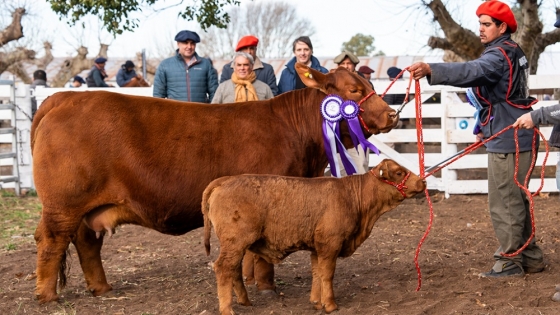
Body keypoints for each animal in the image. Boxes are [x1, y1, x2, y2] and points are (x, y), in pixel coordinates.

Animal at [31, 63, 398, 304]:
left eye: (370, 86)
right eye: (355, 91)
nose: (392, 114)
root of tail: (62, 98)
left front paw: (248, 281)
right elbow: (260, 253)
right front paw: (265, 286)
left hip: (87, 207)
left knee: (86, 243)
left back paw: (101, 289)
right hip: (64, 204)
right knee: (52, 241)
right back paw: (47, 297)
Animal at [201, 160, 424, 315]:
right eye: (398, 172)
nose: (422, 181)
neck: (352, 196)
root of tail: (226, 180)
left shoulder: (317, 248)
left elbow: (317, 273)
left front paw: (317, 302)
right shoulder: (330, 244)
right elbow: (327, 274)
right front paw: (330, 305)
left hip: (236, 245)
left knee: (234, 270)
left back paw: (245, 301)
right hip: (236, 242)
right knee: (223, 268)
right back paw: (227, 309)